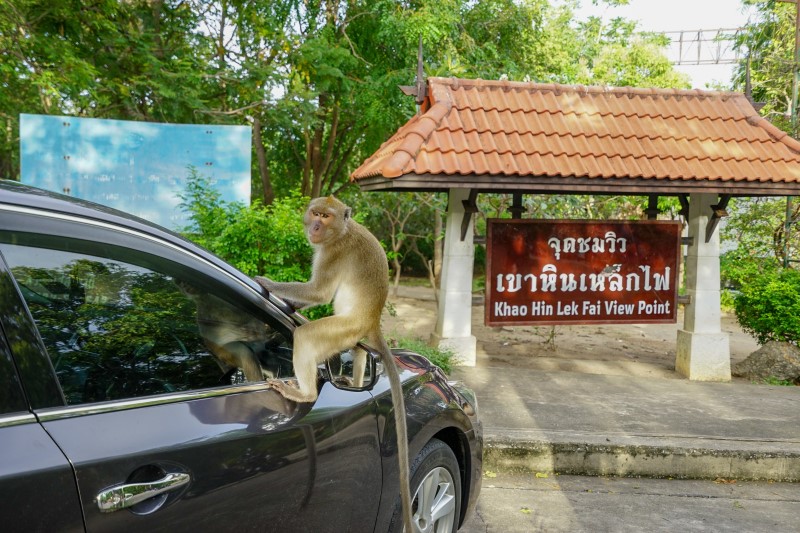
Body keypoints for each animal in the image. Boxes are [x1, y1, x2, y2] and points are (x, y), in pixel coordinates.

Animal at [256, 196, 416, 532]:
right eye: (315, 213)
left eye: (326, 217)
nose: (315, 226)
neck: (341, 232)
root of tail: (372, 320)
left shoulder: (332, 253)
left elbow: (318, 292)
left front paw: (267, 283)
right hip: (350, 335)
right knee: (358, 354)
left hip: (342, 327)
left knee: (305, 334)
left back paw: (304, 394)